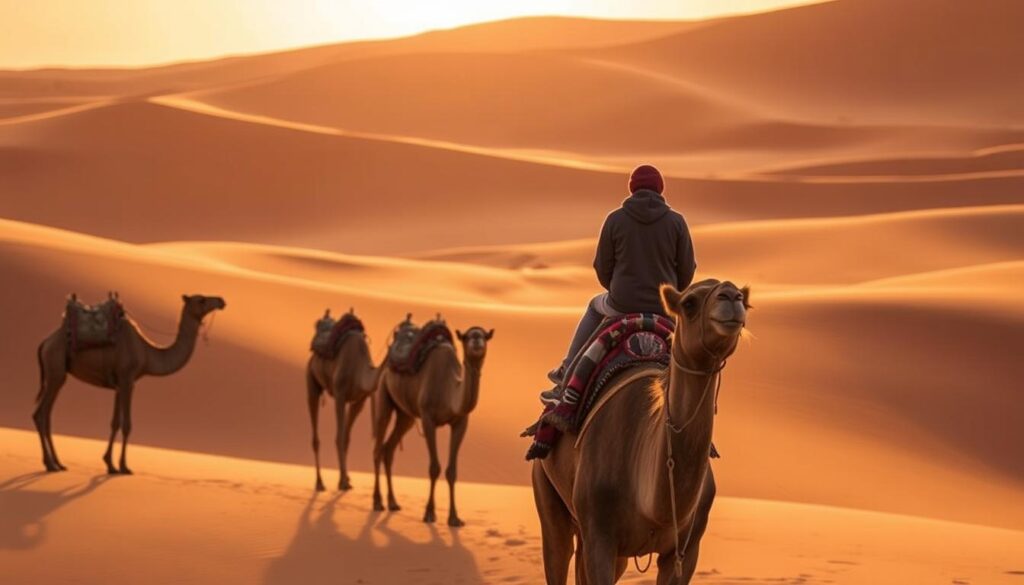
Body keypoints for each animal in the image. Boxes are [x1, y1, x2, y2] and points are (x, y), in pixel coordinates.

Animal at [33, 294, 226, 474]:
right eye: (201, 300)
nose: (221, 300)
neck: (147, 354)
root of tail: (45, 343)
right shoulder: (128, 380)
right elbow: (127, 425)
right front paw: (124, 466)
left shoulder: (119, 384)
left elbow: (115, 422)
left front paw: (109, 464)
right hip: (56, 370)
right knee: (40, 413)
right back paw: (50, 464)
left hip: (55, 373)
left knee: (46, 415)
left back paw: (58, 463)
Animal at [306, 317, 382, 492]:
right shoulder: (340, 395)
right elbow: (339, 437)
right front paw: (342, 482)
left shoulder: (359, 400)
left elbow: (346, 438)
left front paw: (346, 478)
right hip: (311, 379)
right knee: (315, 436)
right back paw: (319, 482)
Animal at [372, 325, 494, 527]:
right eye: (466, 336)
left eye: (485, 335)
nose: (476, 340)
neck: (449, 388)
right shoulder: (428, 418)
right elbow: (434, 467)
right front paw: (429, 513)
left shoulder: (460, 422)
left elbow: (452, 471)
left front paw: (454, 518)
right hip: (383, 394)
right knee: (377, 447)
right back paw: (377, 502)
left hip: (406, 416)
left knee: (389, 449)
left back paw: (393, 502)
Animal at [533, 279, 749, 585]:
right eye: (689, 303)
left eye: (744, 299)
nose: (732, 295)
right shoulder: (600, 537)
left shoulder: (685, 550)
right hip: (548, 492)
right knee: (557, 549)